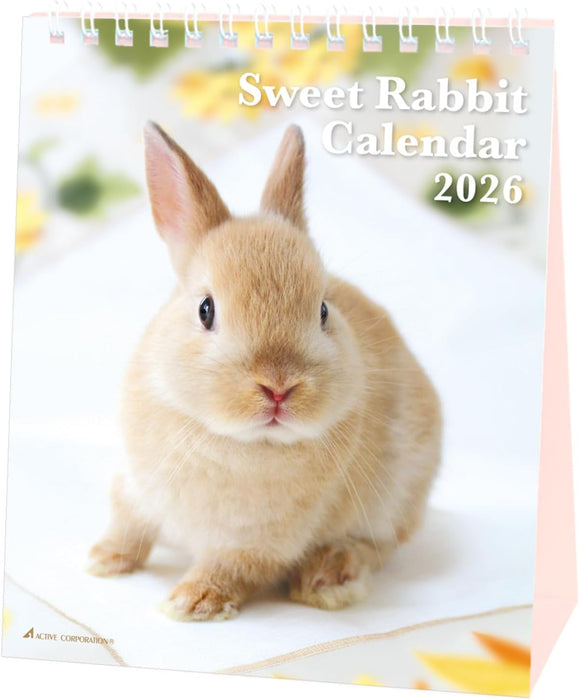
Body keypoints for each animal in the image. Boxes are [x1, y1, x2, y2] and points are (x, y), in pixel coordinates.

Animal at [86, 122, 442, 621]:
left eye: (323, 311)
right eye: (206, 309)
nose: (278, 387)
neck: (235, 440)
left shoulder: (255, 542)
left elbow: (229, 569)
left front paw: (190, 602)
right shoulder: (136, 490)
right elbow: (128, 525)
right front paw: (103, 562)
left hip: (395, 497)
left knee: (375, 547)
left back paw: (326, 578)